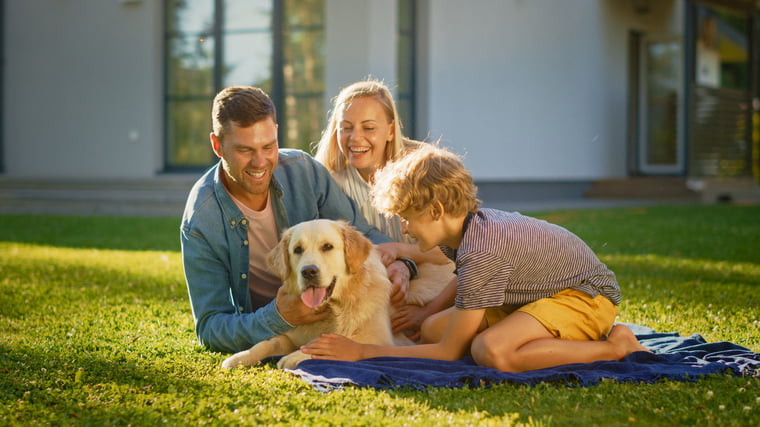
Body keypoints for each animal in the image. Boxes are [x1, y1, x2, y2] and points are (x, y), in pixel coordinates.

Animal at [223, 219, 454, 370]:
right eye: (297, 250)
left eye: (327, 246)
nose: (308, 271)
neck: (334, 307)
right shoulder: (291, 333)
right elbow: (266, 343)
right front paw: (239, 357)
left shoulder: (380, 340)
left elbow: (335, 343)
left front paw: (295, 356)